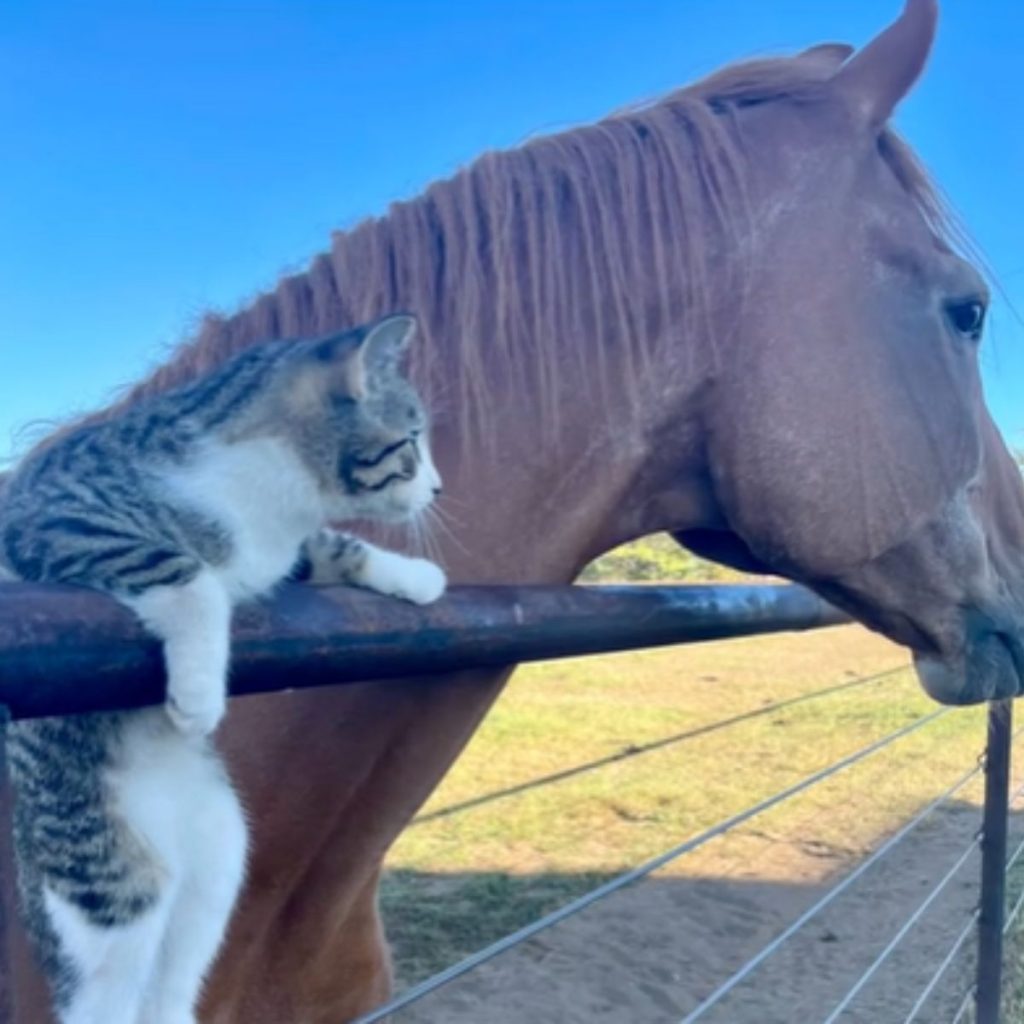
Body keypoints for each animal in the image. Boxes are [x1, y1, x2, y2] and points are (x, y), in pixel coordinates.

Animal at [0, 313, 448, 1024]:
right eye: (410, 439)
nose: (437, 487)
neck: (270, 499)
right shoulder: (56, 516)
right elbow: (189, 575)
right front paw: (197, 695)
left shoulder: (282, 551)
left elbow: (331, 545)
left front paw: (415, 575)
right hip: (113, 887)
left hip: (218, 860)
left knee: (175, 982)